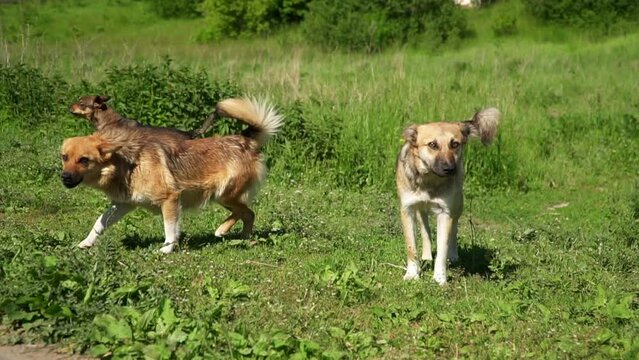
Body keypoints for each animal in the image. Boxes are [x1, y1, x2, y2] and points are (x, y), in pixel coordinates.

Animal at [60, 97, 284, 252]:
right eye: (64, 157)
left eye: (84, 160)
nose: (65, 177)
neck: (127, 165)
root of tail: (246, 139)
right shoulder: (123, 204)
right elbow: (99, 223)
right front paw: (85, 243)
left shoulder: (170, 199)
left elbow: (169, 229)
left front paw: (167, 249)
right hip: (224, 197)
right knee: (248, 214)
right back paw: (244, 237)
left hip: (224, 194)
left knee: (245, 212)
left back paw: (222, 230)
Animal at [396, 107, 500, 284]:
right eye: (432, 145)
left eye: (455, 144)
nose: (450, 169)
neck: (429, 180)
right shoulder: (407, 210)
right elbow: (411, 246)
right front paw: (412, 274)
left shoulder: (446, 212)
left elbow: (442, 248)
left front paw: (440, 278)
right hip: (420, 209)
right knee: (425, 229)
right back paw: (426, 256)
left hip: (458, 204)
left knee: (454, 228)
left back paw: (453, 255)